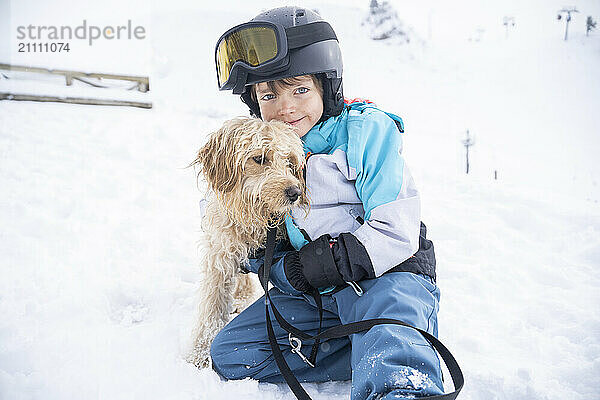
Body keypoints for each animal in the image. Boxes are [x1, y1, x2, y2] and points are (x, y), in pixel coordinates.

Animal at [186, 115, 310, 368]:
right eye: (260, 158)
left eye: (289, 162)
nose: (295, 192)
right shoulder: (220, 254)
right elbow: (212, 308)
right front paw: (200, 353)